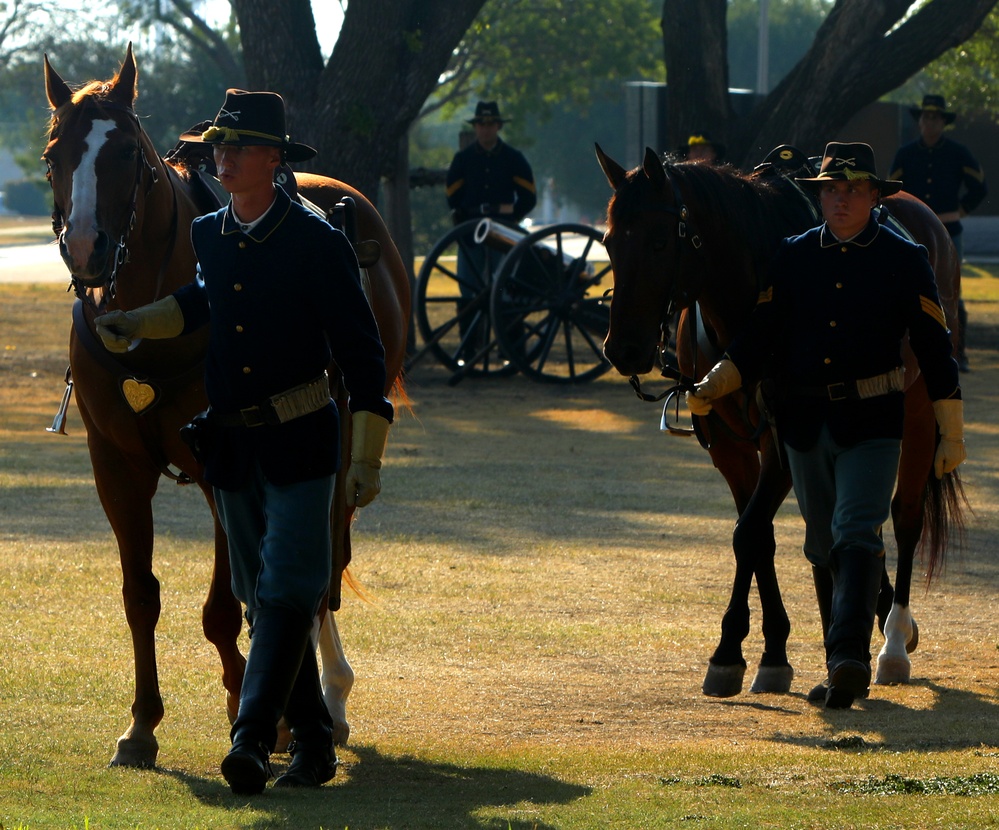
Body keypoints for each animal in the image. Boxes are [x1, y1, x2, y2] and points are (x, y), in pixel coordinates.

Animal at [43, 48, 410, 772]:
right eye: (53, 155)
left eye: (124, 151)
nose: (86, 248)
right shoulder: (115, 467)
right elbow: (140, 595)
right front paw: (141, 725)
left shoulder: (223, 462)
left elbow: (223, 606)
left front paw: (258, 713)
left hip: (335, 444)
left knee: (321, 565)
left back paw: (325, 701)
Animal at [596, 146, 964, 700]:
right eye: (609, 242)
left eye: (660, 241)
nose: (623, 349)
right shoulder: (730, 448)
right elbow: (758, 536)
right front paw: (769, 651)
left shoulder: (786, 441)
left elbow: (749, 532)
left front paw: (731, 651)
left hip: (921, 409)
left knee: (904, 518)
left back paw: (894, 641)